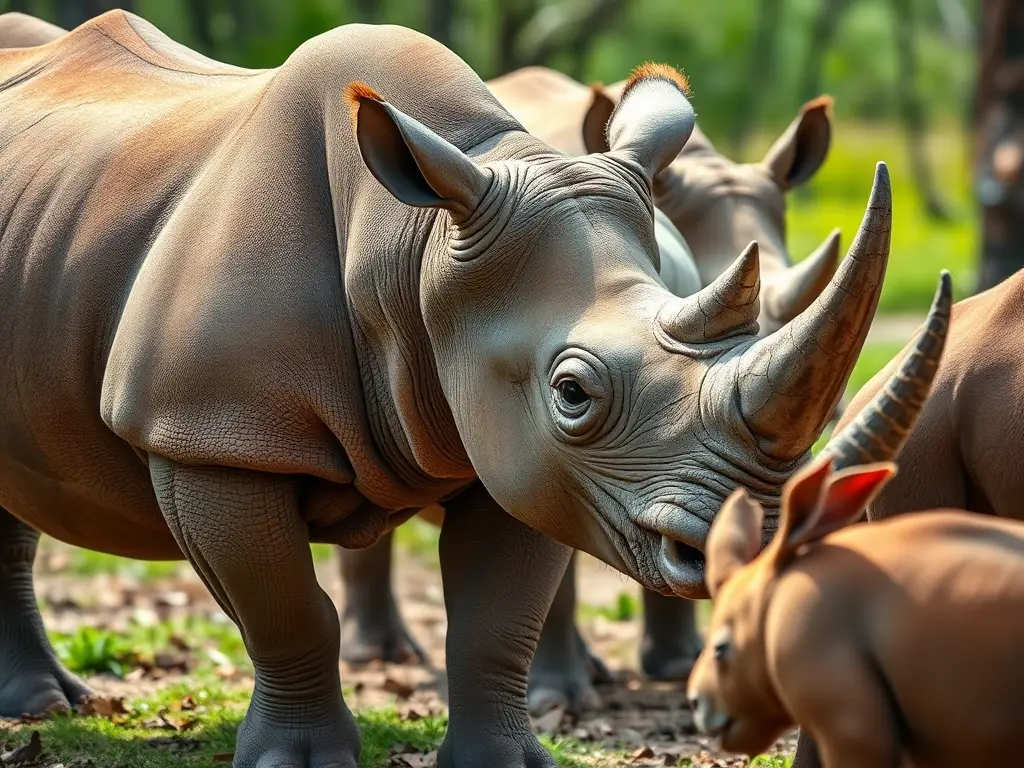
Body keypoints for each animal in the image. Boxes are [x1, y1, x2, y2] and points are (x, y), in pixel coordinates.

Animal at [0, 10, 926, 768]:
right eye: (574, 392)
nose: (763, 542)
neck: (416, 248)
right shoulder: (207, 431)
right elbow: (286, 610)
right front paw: (299, 764)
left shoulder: (528, 455)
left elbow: (494, 621)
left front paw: (508, 764)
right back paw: (50, 709)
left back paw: (47, 704)